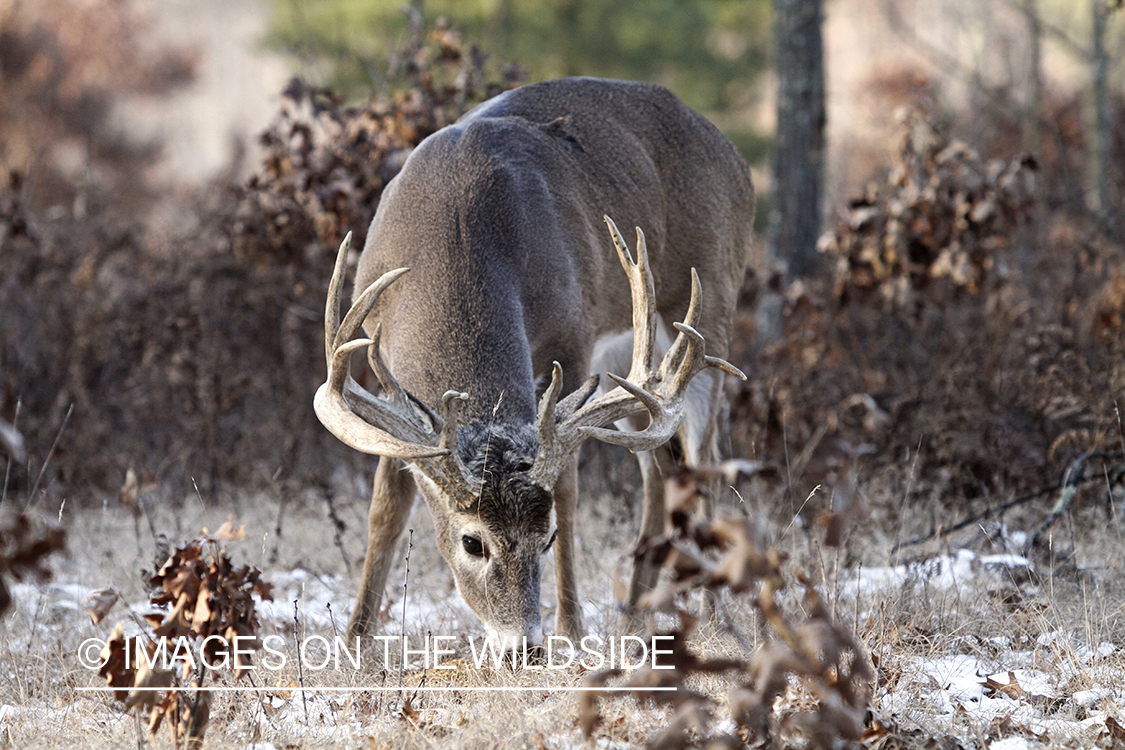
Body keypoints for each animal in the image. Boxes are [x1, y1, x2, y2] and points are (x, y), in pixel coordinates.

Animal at [315, 77, 756, 652]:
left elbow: (566, 491)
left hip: (708, 306)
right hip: (627, 375)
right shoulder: (380, 363)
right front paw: (355, 643)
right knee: (660, 467)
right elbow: (387, 503)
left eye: (546, 539)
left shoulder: (572, 342)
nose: (522, 646)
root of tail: (736, 157)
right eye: (473, 542)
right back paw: (633, 616)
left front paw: (569, 631)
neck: (458, 234)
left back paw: (717, 619)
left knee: (704, 459)